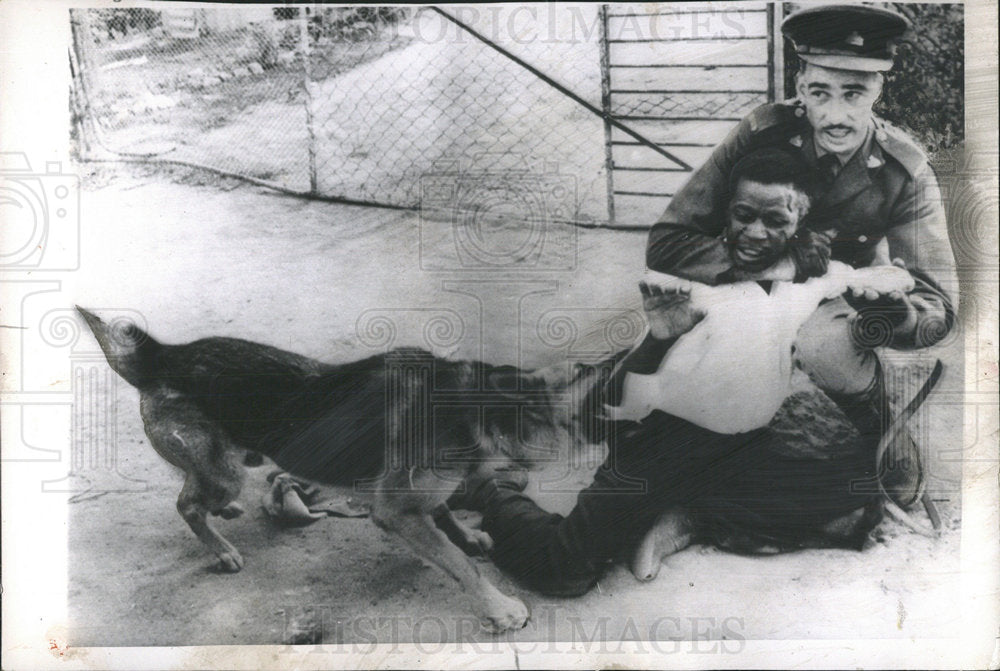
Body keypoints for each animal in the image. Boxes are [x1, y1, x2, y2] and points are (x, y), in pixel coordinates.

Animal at [78, 310, 604, 636]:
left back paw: (225, 515)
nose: (605, 441)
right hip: (223, 471)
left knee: (195, 489)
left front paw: (467, 534)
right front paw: (499, 608)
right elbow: (460, 564)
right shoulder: (396, 513)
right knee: (186, 503)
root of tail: (163, 356)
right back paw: (222, 549)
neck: (471, 406)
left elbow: (445, 515)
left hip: (225, 466)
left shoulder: (422, 496)